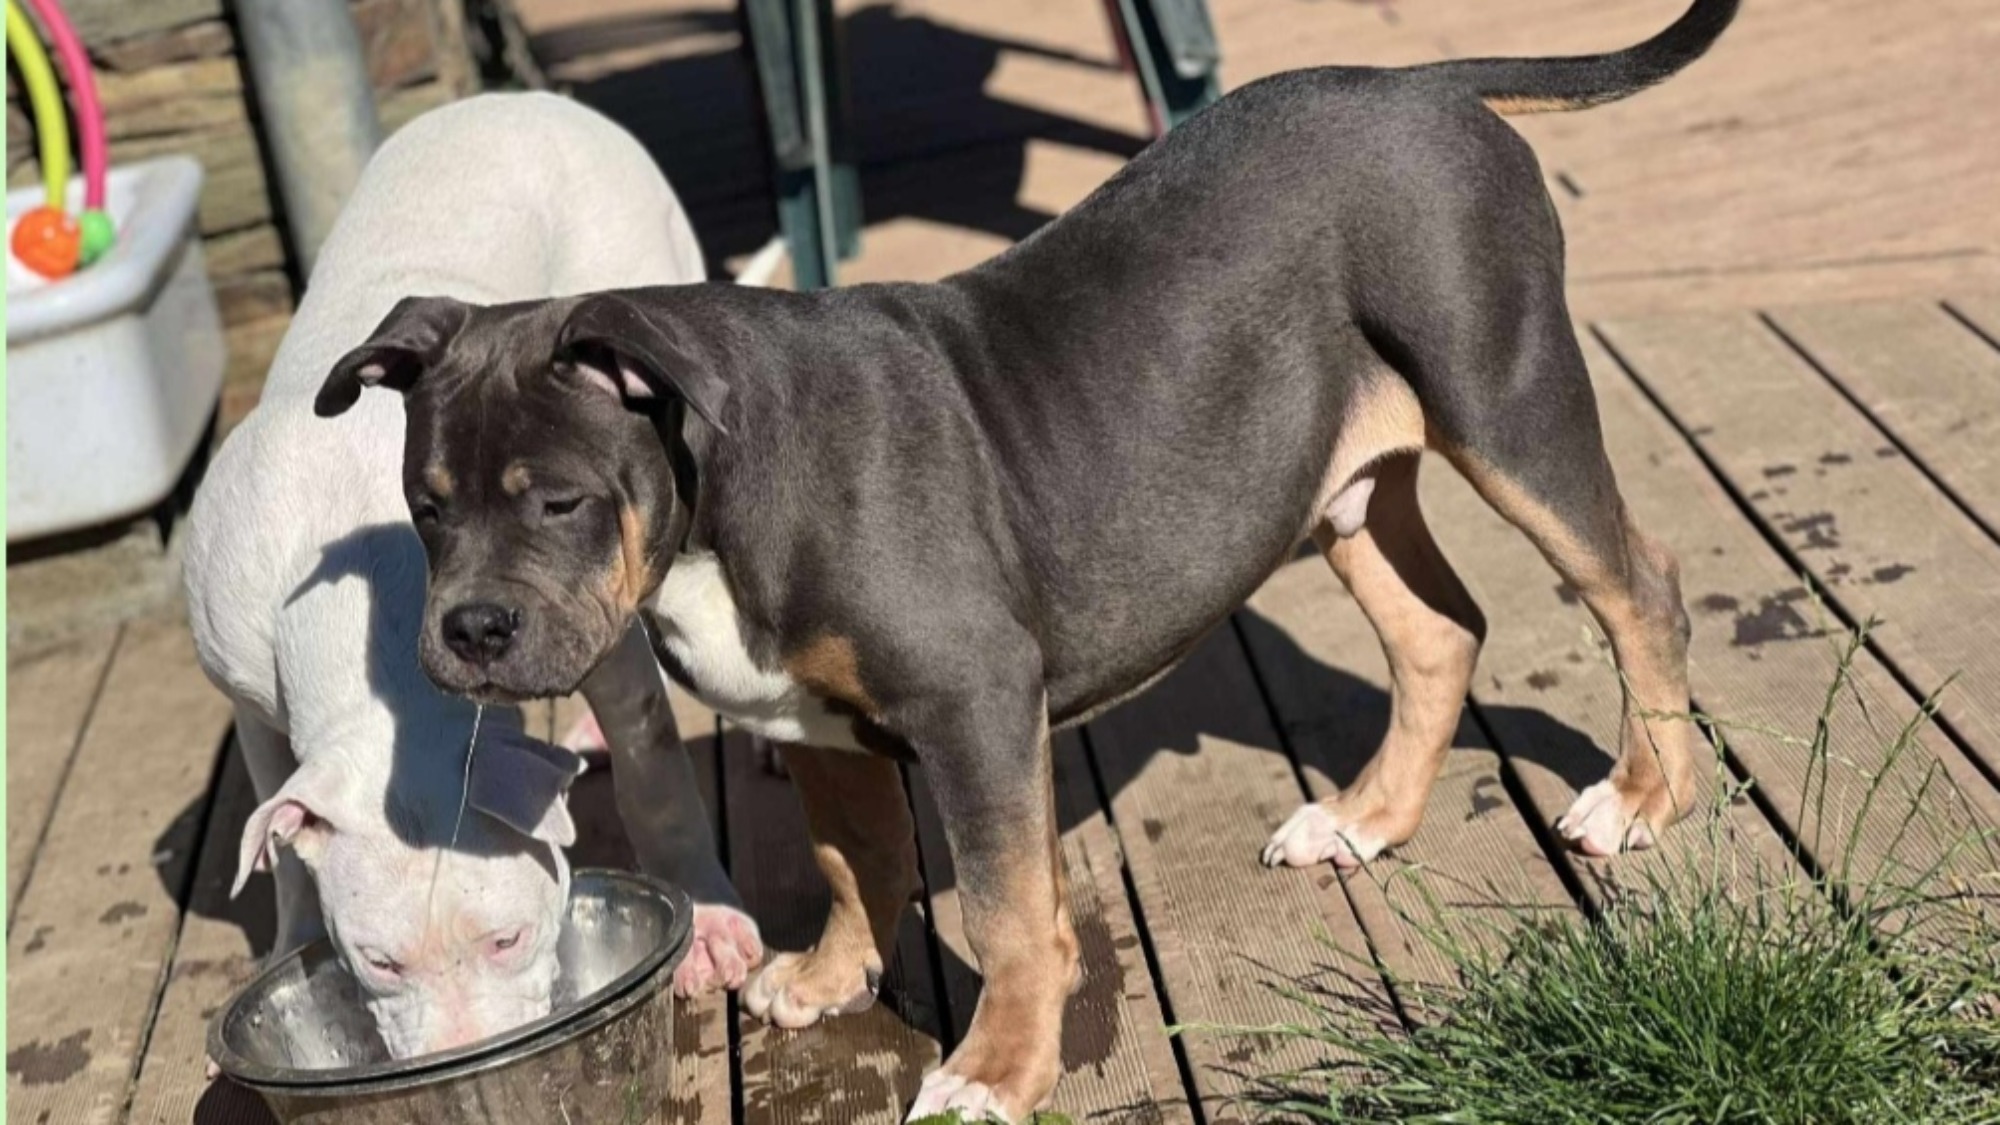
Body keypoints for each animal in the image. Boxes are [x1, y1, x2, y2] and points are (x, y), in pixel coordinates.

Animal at [189, 92, 764, 1056]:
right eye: (378, 960)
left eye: (509, 937)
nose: (464, 1057)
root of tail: (527, 100)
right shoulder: (248, 702)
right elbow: (278, 836)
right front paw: (292, 938)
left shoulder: (595, 617)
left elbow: (655, 771)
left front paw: (710, 919)